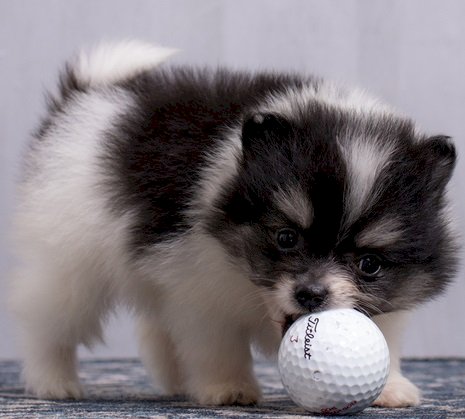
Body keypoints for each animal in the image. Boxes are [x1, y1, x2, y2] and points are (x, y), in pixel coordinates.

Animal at [10, 41, 456, 408]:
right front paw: (229, 389)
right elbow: (217, 344)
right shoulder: (198, 285)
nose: (311, 294)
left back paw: (176, 381)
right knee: (49, 322)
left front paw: (391, 388)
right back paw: (53, 381)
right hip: (70, 260)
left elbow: (385, 338)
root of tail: (88, 95)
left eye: (370, 264)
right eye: (286, 238)